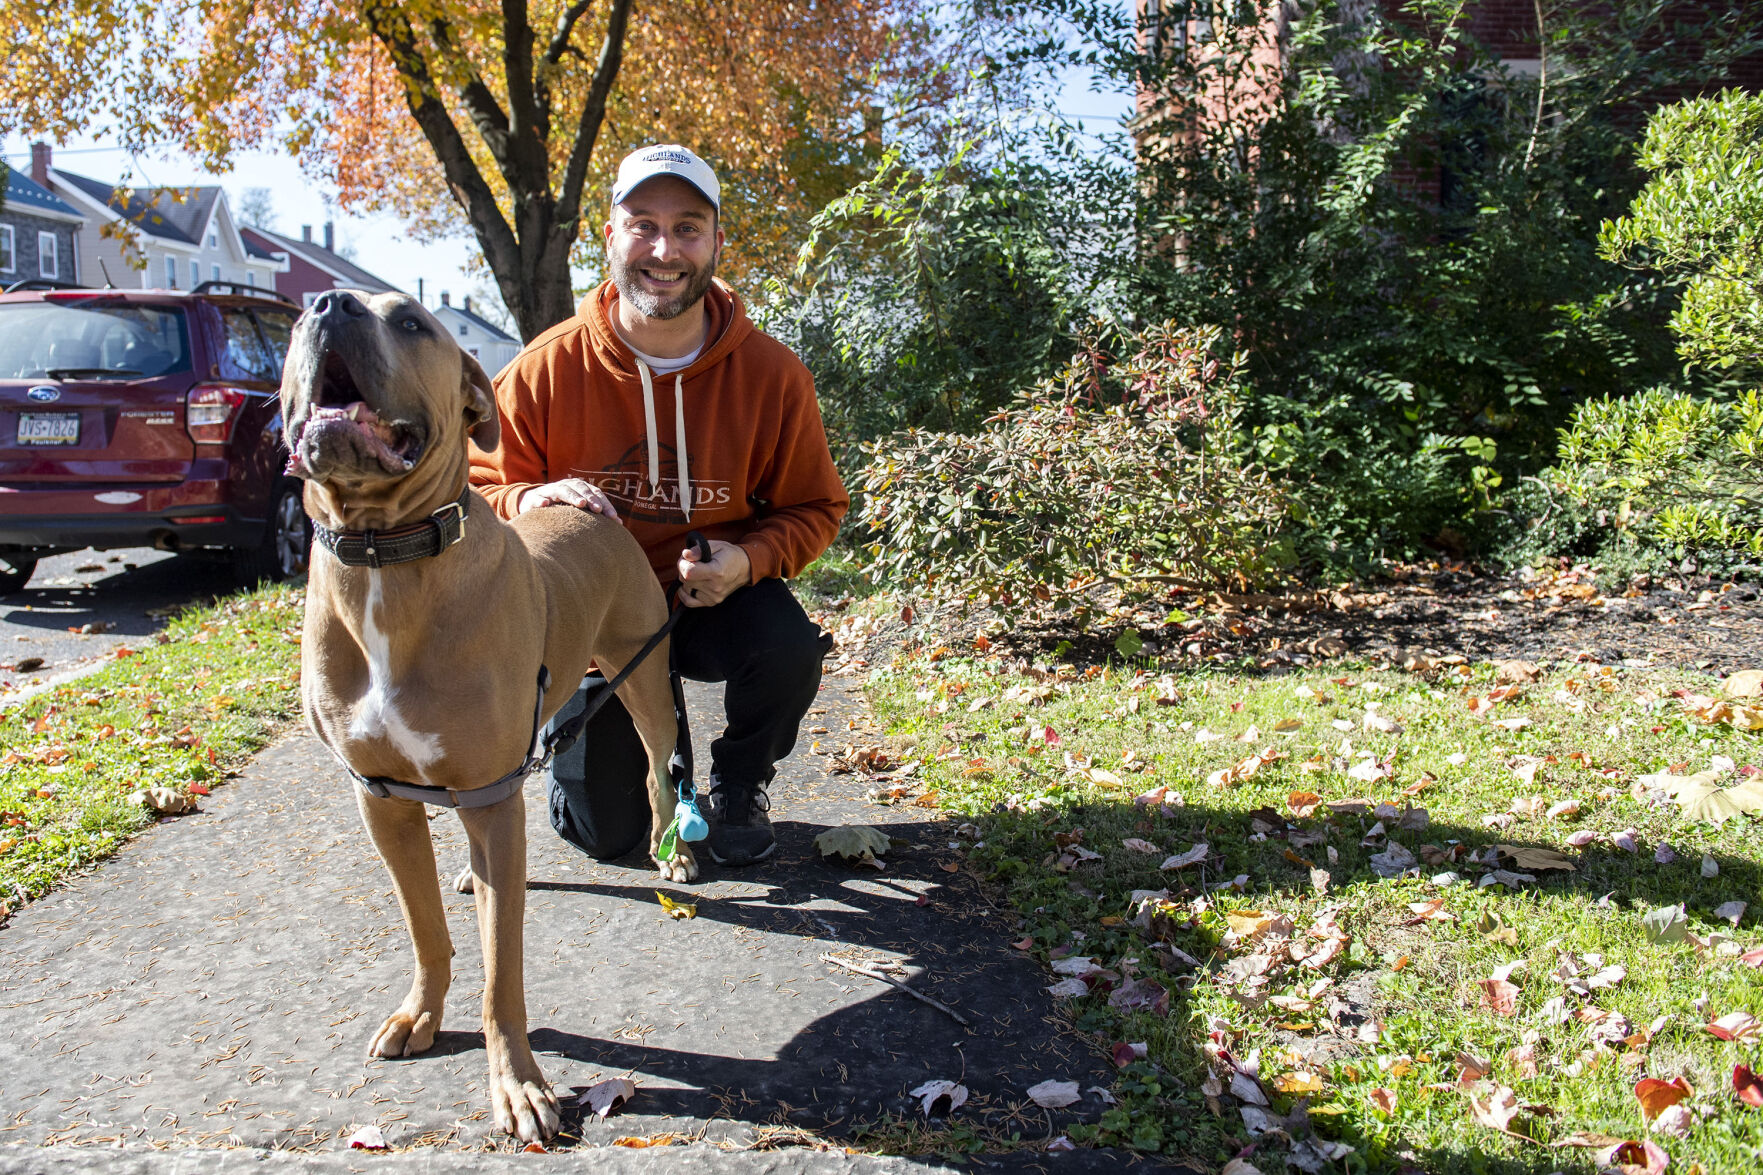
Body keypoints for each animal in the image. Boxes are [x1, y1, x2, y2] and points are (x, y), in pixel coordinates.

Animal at [280, 287, 694, 1136]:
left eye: (410, 322)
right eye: (300, 315)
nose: (327, 302)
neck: (384, 553)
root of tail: (595, 509)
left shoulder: (488, 794)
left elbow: (503, 969)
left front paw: (519, 1083)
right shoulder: (382, 799)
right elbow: (425, 929)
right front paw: (420, 1012)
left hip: (640, 673)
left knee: (654, 768)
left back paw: (671, 847)